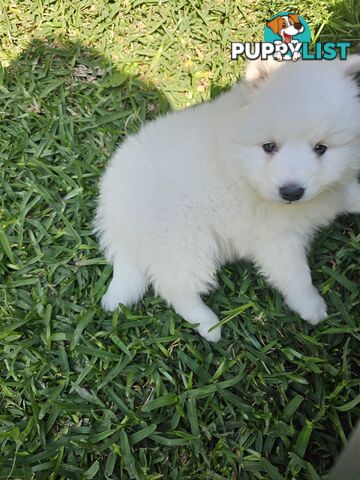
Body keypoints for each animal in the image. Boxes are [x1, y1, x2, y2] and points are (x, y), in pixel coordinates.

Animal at [95, 56, 360, 342]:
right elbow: (296, 276)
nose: (291, 192)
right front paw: (312, 307)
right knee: (175, 289)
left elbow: (348, 193)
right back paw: (208, 325)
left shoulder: (331, 194)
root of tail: (113, 220)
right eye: (269, 147)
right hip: (186, 245)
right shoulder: (276, 241)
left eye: (321, 148)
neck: (237, 163)